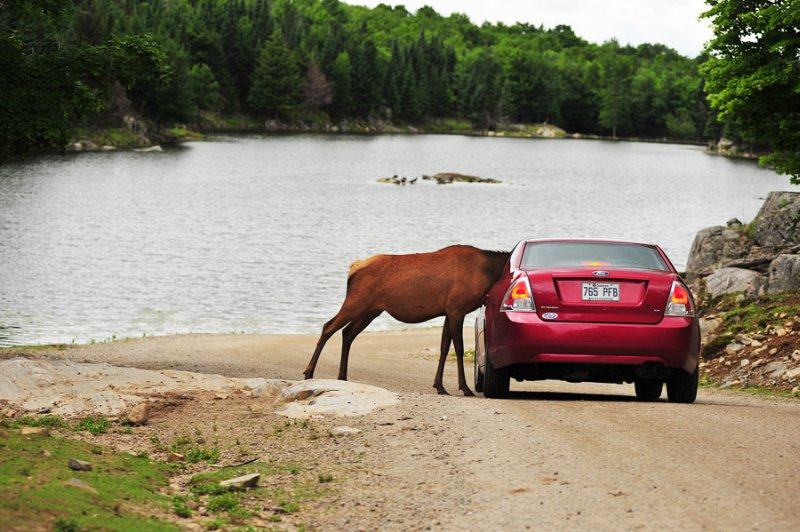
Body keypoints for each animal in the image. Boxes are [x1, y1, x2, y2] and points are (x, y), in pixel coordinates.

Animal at [304, 245, 510, 394]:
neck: (487, 274)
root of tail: (353, 268)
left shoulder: (447, 311)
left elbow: (444, 348)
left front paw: (439, 386)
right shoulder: (457, 308)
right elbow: (458, 348)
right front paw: (465, 388)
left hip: (371, 310)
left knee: (347, 333)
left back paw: (342, 376)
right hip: (355, 302)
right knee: (328, 326)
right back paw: (309, 373)